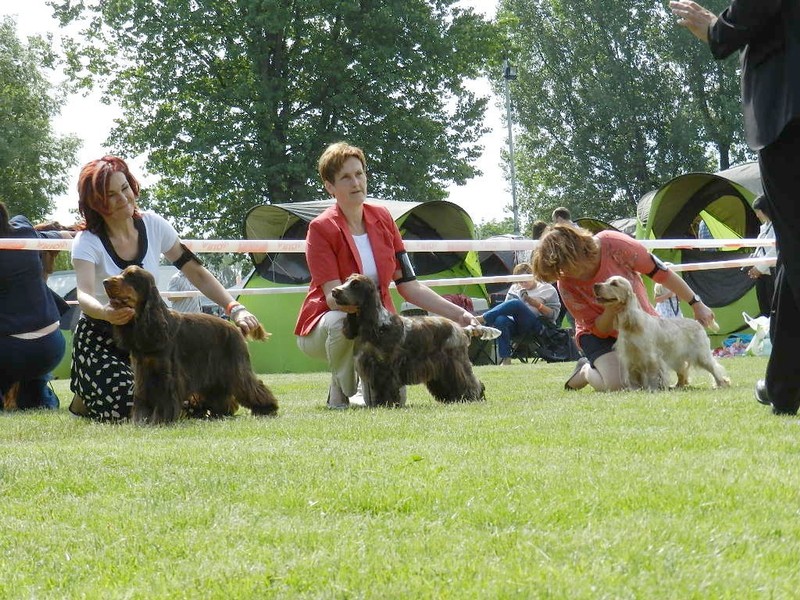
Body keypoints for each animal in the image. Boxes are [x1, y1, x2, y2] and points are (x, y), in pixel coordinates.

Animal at [102, 265, 278, 424]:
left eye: (131, 276)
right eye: (121, 273)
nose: (105, 281)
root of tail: (236, 328)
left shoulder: (167, 374)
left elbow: (163, 399)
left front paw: (159, 420)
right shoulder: (143, 373)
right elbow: (142, 400)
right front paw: (140, 420)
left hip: (236, 368)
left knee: (253, 387)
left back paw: (267, 408)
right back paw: (220, 412)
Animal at [331, 273, 488, 407]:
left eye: (355, 284)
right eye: (346, 281)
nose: (334, 291)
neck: (377, 325)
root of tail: (461, 329)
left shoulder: (386, 367)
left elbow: (387, 387)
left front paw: (387, 403)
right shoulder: (373, 366)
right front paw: (380, 403)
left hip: (455, 362)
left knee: (470, 382)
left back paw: (473, 397)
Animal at [593, 275, 730, 390]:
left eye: (614, 283)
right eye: (606, 281)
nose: (595, 285)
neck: (632, 325)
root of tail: (698, 322)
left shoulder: (651, 357)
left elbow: (652, 375)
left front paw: (653, 388)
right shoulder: (629, 357)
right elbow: (633, 376)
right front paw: (635, 389)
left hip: (702, 355)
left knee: (715, 369)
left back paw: (721, 384)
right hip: (677, 357)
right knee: (682, 371)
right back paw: (677, 385)